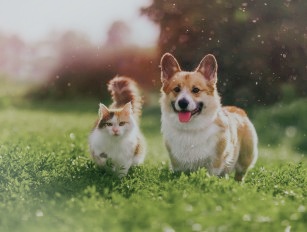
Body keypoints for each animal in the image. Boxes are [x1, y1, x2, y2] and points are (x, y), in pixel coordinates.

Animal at [160, 53, 258, 181]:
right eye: (176, 89)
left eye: (195, 90)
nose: (183, 103)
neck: (191, 128)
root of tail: (237, 109)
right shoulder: (177, 164)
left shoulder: (215, 163)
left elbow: (211, 175)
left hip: (245, 158)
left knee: (240, 175)